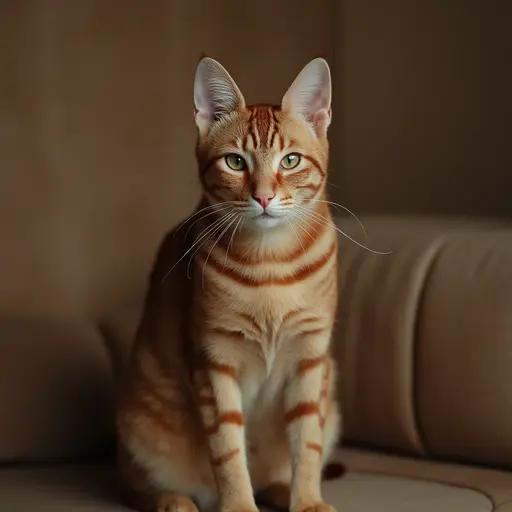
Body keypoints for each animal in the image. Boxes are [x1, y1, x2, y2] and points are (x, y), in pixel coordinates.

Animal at [115, 55, 340, 512]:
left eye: (290, 161)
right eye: (235, 162)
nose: (264, 197)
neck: (272, 266)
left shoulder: (311, 358)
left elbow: (307, 443)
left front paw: (307, 500)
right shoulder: (214, 361)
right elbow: (228, 450)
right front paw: (238, 504)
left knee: (277, 472)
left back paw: (279, 489)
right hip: (138, 425)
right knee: (133, 484)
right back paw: (174, 500)